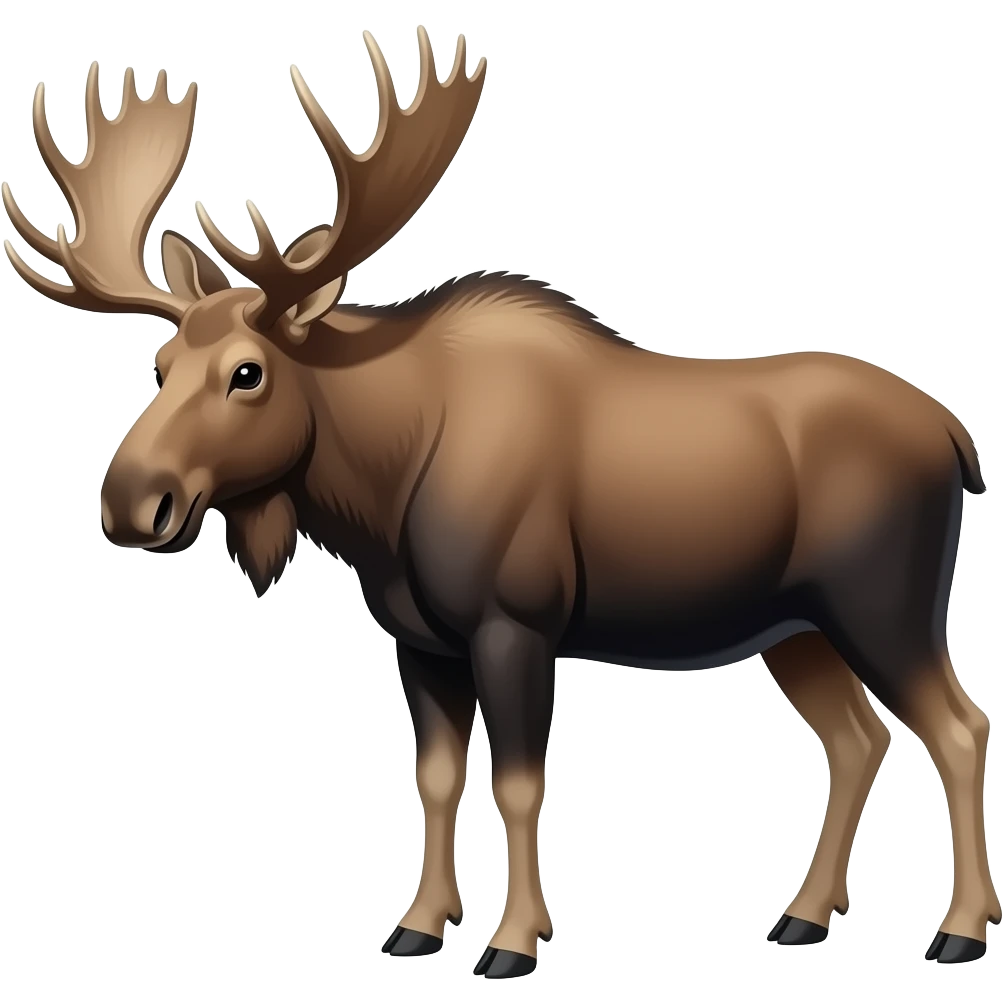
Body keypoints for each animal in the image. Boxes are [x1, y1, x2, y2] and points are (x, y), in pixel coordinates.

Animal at [2, 32, 997, 978]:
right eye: (161, 364)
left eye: (247, 373)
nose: (132, 499)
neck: (379, 493)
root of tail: (958, 440)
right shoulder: (418, 639)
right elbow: (437, 778)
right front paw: (417, 925)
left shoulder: (515, 623)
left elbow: (519, 785)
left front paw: (513, 940)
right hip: (792, 627)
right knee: (856, 738)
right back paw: (802, 915)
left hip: (881, 604)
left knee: (957, 724)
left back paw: (958, 930)